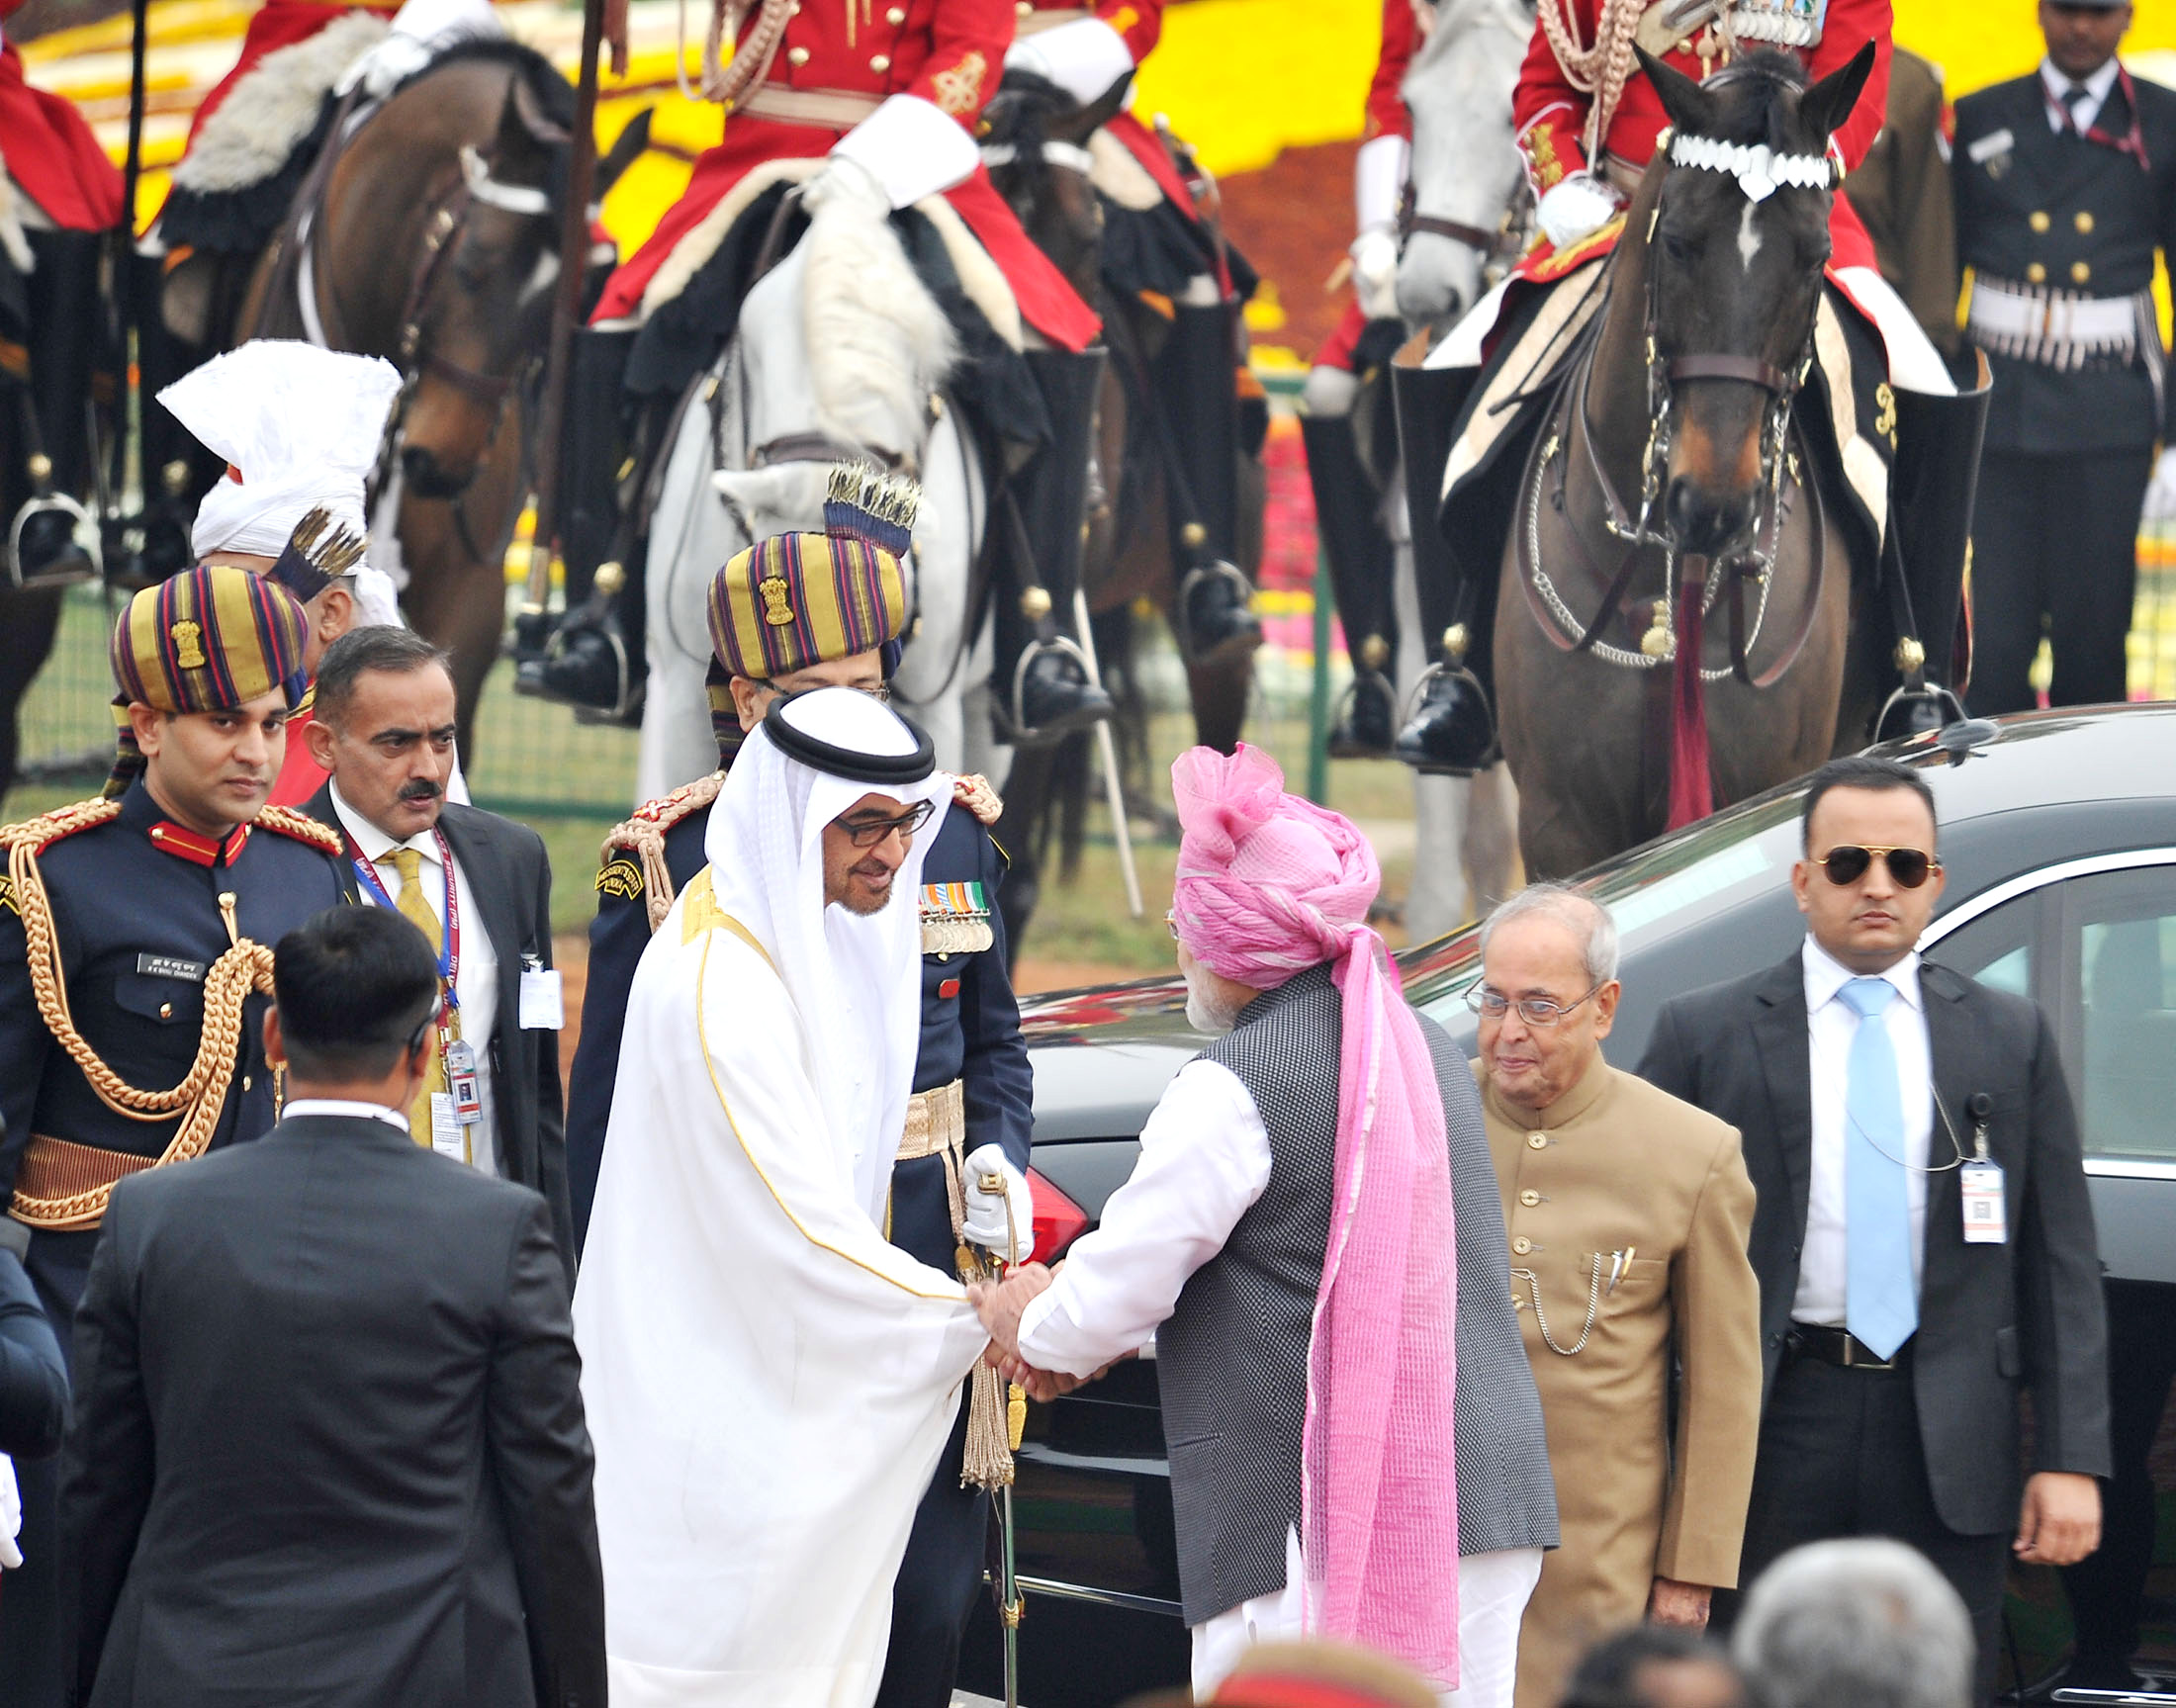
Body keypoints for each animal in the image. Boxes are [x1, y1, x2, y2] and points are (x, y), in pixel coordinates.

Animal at [1496, 46, 1888, 874]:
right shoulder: (1559, 826)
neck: (1661, 578)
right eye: (1675, 241)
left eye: (1817, 258)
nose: (1712, 506)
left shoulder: (1769, 794)